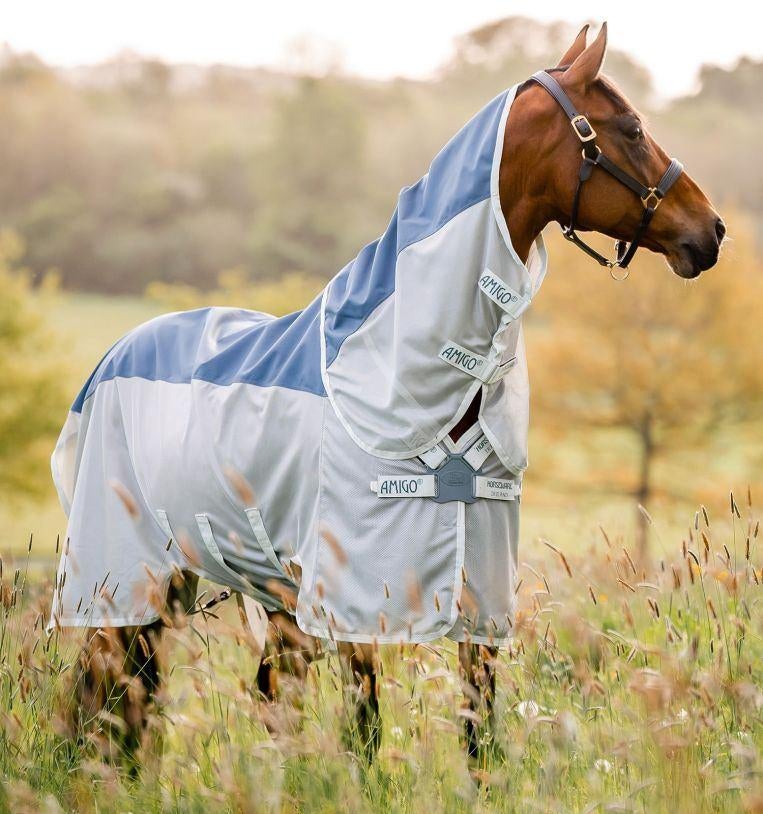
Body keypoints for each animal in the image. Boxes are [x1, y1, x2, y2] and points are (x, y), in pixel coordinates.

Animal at [50, 23, 724, 765]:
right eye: (629, 127)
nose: (712, 230)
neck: (405, 381)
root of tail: (116, 354)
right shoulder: (355, 601)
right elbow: (367, 730)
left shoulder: (479, 596)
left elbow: (478, 728)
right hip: (130, 576)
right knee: (117, 693)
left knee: (210, 700)